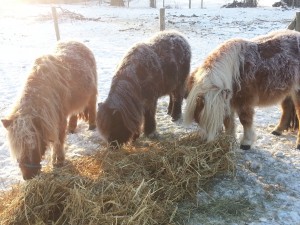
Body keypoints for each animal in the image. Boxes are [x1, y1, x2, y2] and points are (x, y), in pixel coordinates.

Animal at [1, 39, 97, 178]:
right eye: (16, 148)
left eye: (33, 144)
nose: (28, 176)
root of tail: (75, 41)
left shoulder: (59, 119)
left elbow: (59, 139)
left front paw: (58, 161)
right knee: (74, 113)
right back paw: (72, 128)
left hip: (92, 93)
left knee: (92, 106)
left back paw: (92, 126)